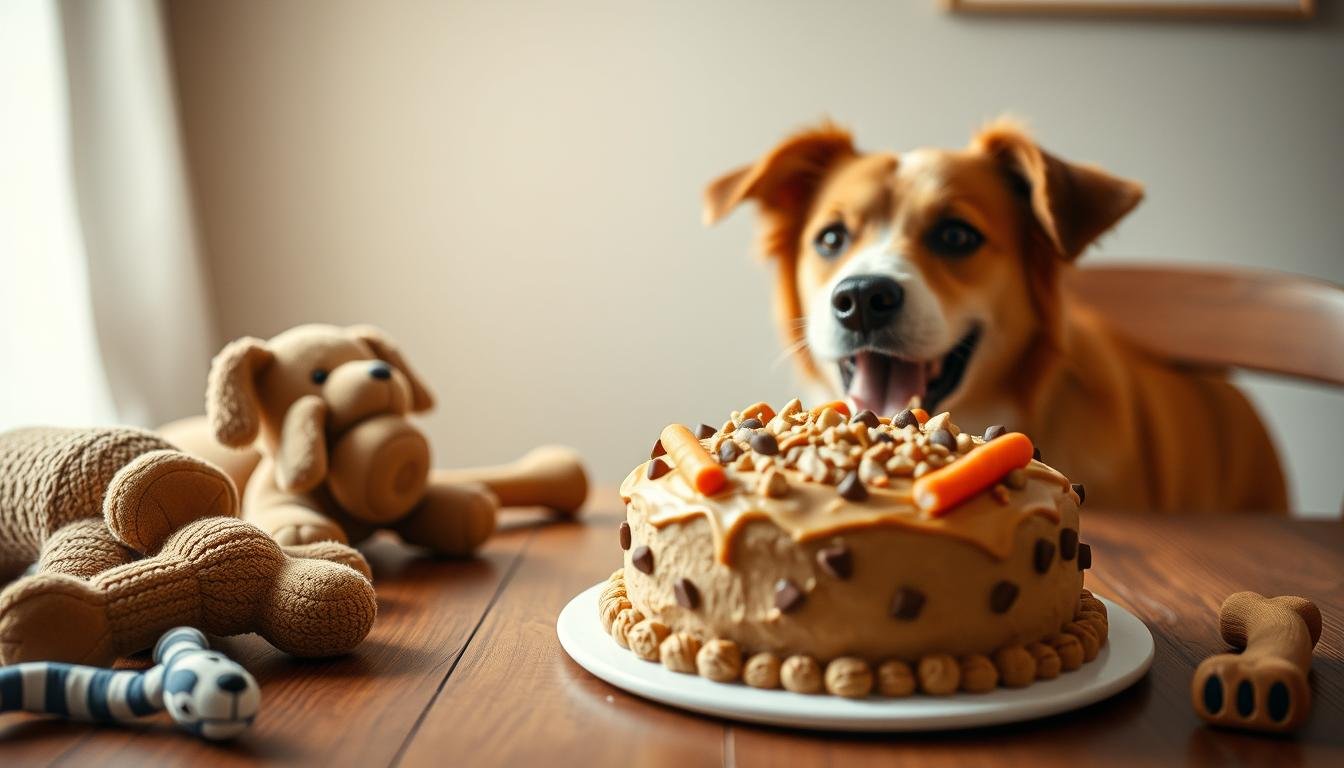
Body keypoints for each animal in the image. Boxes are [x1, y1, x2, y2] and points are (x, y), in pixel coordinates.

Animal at [165, 325, 585, 559]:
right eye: (318, 375)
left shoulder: (411, 501)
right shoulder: (269, 489)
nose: (381, 371)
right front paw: (305, 531)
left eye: (364, 355)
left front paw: (473, 506)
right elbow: (287, 512)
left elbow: (445, 507)